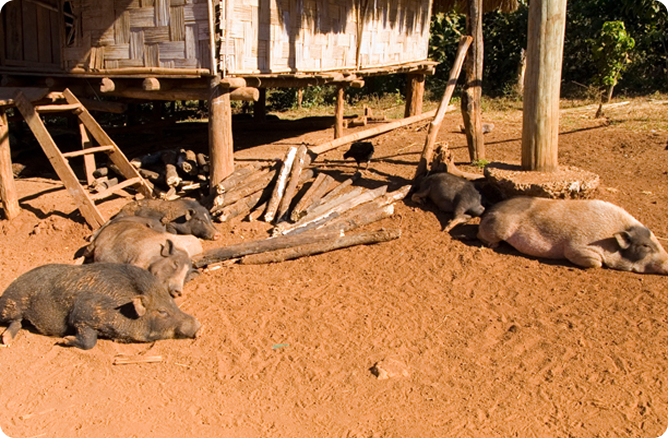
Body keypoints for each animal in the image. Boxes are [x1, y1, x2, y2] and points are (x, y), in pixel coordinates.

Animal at [0, 263, 201, 350]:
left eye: (172, 304)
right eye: (162, 312)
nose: (199, 326)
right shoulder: (83, 314)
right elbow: (90, 341)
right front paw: (64, 340)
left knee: (18, 322)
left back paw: (7, 340)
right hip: (9, 304)